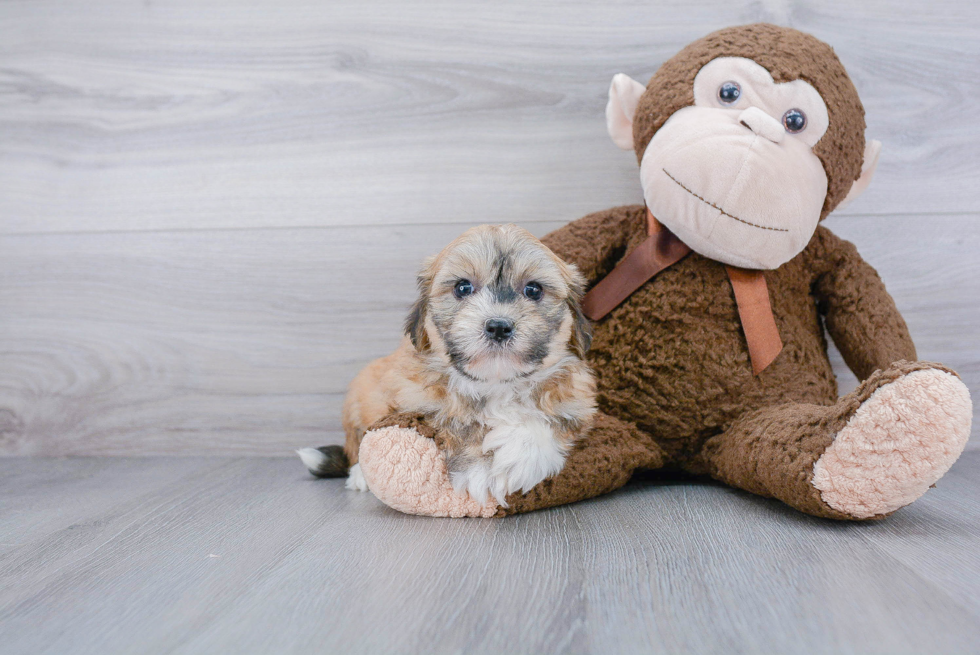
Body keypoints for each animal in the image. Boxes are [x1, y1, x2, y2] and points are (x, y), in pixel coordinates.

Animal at [296, 223, 596, 504]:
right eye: (462, 287)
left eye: (533, 290)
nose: (498, 326)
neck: (496, 384)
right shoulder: (418, 400)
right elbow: (457, 419)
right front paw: (478, 469)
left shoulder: (576, 404)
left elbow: (547, 420)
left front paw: (517, 458)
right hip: (361, 396)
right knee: (356, 443)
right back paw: (360, 475)